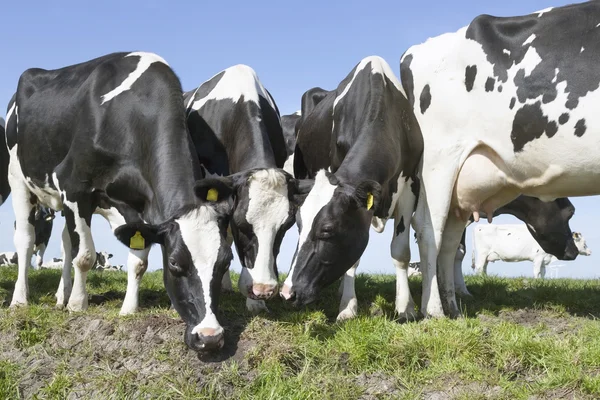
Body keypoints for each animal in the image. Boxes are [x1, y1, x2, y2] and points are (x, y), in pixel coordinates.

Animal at [3, 51, 236, 352]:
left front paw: (128, 310)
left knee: (66, 243)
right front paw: (78, 304)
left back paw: (60, 296)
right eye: (174, 263)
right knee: (27, 240)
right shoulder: (73, 185)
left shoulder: (140, 205)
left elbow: (138, 261)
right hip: (18, 179)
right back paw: (21, 299)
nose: (210, 337)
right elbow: (85, 256)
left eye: (226, 262)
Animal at [280, 56, 424, 320]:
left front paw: (405, 308)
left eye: (327, 230)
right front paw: (347, 307)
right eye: (299, 225)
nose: (287, 293)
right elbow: (352, 262)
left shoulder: (411, 185)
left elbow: (401, 251)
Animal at [400, 1, 596, 318]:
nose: (572, 252)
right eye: (569, 212)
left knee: (447, 240)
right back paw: (433, 309)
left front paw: (462, 293)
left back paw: (452, 307)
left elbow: (456, 252)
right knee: (429, 230)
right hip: (439, 161)